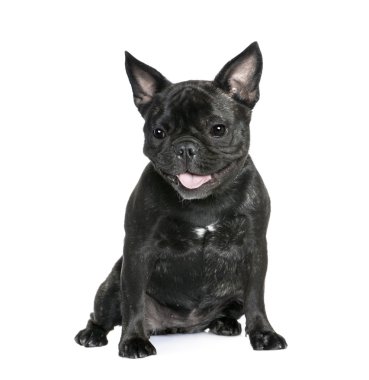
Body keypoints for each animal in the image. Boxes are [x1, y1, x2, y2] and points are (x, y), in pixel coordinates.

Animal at [75, 43, 288, 358]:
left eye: (218, 129)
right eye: (158, 132)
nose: (186, 147)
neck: (205, 203)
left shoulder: (254, 250)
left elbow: (255, 297)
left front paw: (263, 333)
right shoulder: (138, 250)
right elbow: (133, 300)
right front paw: (133, 340)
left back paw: (224, 323)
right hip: (112, 281)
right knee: (103, 312)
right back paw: (92, 333)